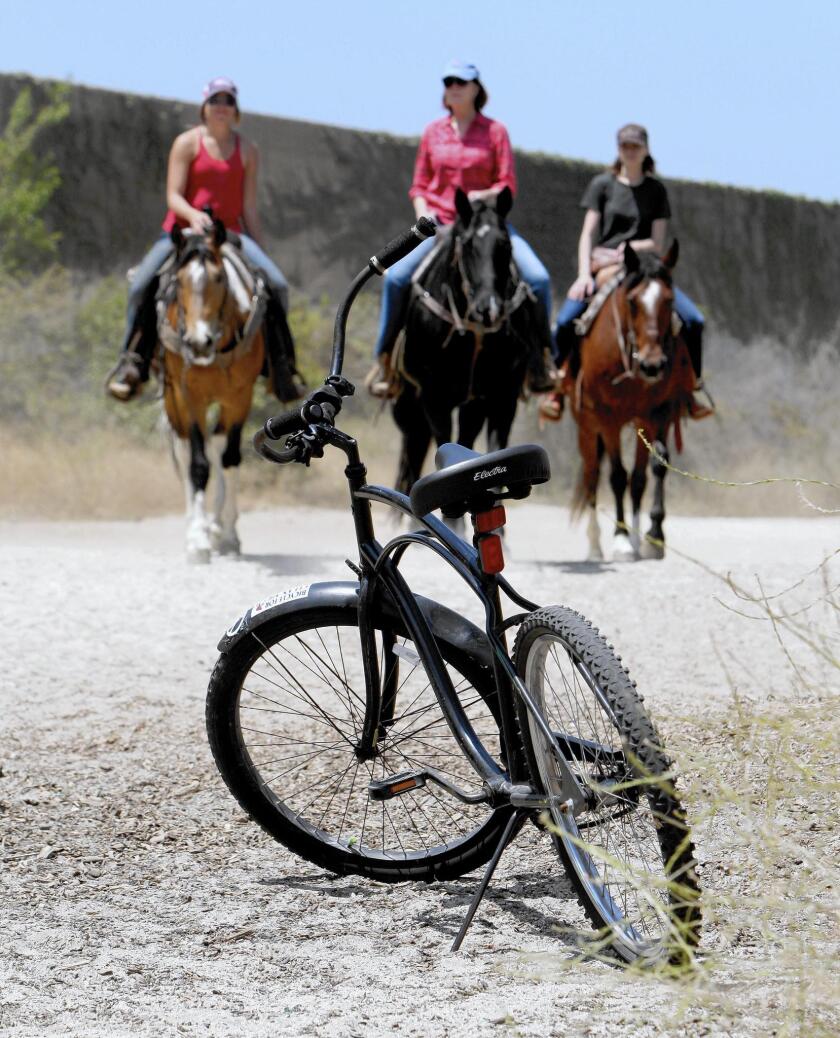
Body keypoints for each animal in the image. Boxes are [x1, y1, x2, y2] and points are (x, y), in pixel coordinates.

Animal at [158, 216, 290, 560]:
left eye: (219, 279)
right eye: (178, 282)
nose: (197, 342)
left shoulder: (239, 396)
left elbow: (228, 456)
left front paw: (227, 535)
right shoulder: (190, 396)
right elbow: (198, 464)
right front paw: (198, 540)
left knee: (216, 446)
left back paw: (215, 526)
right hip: (173, 398)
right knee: (187, 450)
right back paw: (196, 525)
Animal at [392, 186, 544, 494]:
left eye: (505, 245)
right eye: (468, 244)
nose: (489, 308)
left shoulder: (502, 397)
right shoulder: (434, 397)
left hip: (472, 405)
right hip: (411, 405)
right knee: (413, 455)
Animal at [568, 239, 693, 564]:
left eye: (669, 300)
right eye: (633, 301)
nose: (652, 365)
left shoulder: (658, 413)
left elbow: (655, 467)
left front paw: (654, 537)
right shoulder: (608, 417)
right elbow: (617, 476)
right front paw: (621, 539)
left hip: (639, 424)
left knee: (637, 480)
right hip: (587, 426)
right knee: (592, 477)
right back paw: (597, 545)